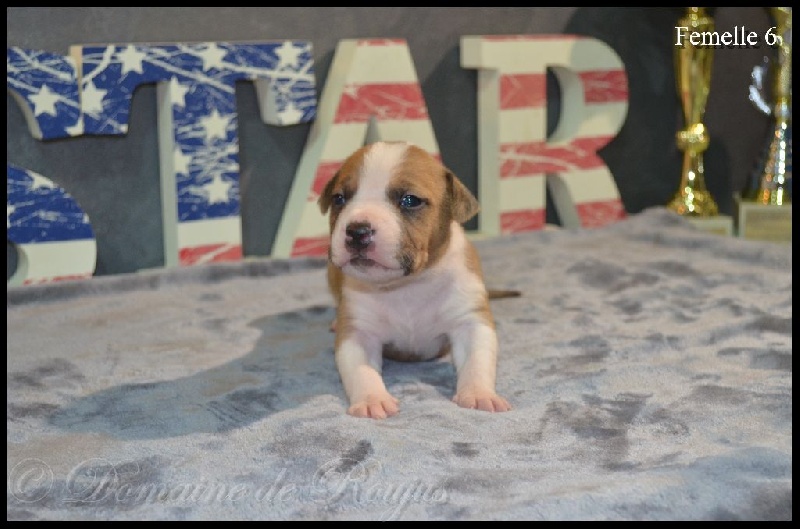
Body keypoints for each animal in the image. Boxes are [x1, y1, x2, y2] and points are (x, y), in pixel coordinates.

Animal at [318, 141, 516, 419]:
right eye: (339, 199)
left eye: (410, 200)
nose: (357, 231)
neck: (407, 285)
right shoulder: (359, 332)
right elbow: (361, 371)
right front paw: (371, 399)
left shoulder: (470, 321)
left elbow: (477, 360)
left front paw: (479, 394)